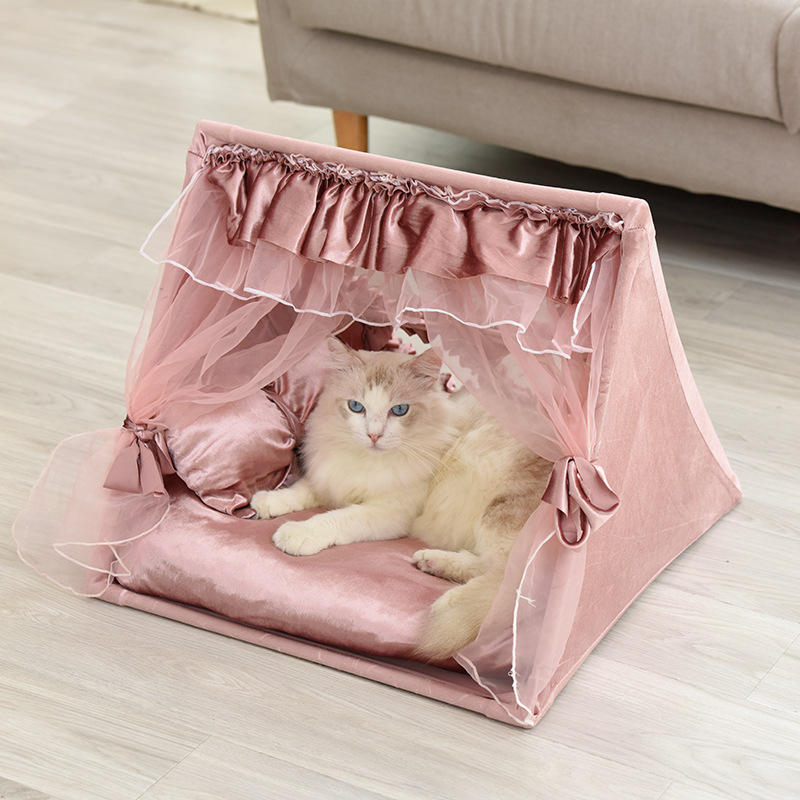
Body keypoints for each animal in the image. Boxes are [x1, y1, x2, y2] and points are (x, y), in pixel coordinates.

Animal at [250, 337, 552, 659]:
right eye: (356, 407)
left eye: (400, 410)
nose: (374, 435)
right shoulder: (330, 477)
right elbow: (301, 491)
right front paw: (267, 501)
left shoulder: (389, 511)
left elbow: (336, 518)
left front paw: (297, 533)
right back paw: (431, 563)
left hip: (497, 516)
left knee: (505, 580)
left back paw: (446, 600)